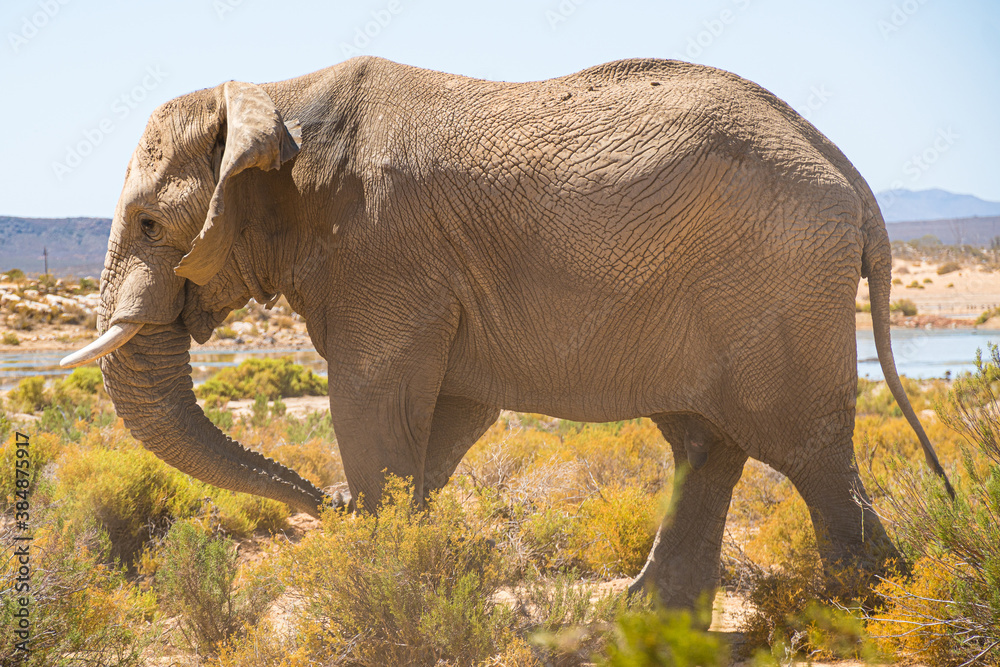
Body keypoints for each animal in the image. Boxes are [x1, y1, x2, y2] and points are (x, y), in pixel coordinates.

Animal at [62, 56, 952, 612]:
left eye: (149, 223)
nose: (328, 502)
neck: (279, 95)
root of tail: (847, 175)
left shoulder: (382, 251)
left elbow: (370, 401)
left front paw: (384, 565)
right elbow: (449, 414)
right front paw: (402, 548)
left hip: (776, 282)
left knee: (806, 450)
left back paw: (864, 609)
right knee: (706, 441)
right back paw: (642, 621)